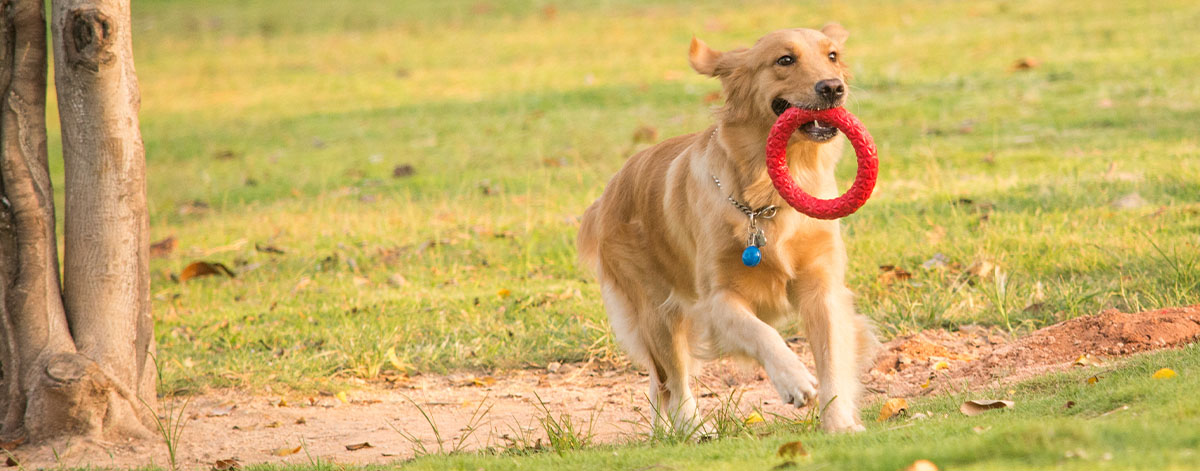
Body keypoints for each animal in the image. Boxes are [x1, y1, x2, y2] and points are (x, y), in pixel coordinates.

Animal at [576, 23, 878, 432]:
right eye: (785, 59)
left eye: (832, 55)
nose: (833, 87)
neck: (767, 199)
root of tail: (605, 195)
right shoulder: (716, 300)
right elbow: (762, 332)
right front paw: (793, 379)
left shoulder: (823, 289)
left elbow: (831, 359)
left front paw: (839, 423)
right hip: (658, 312)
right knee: (673, 382)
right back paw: (693, 429)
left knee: (661, 385)